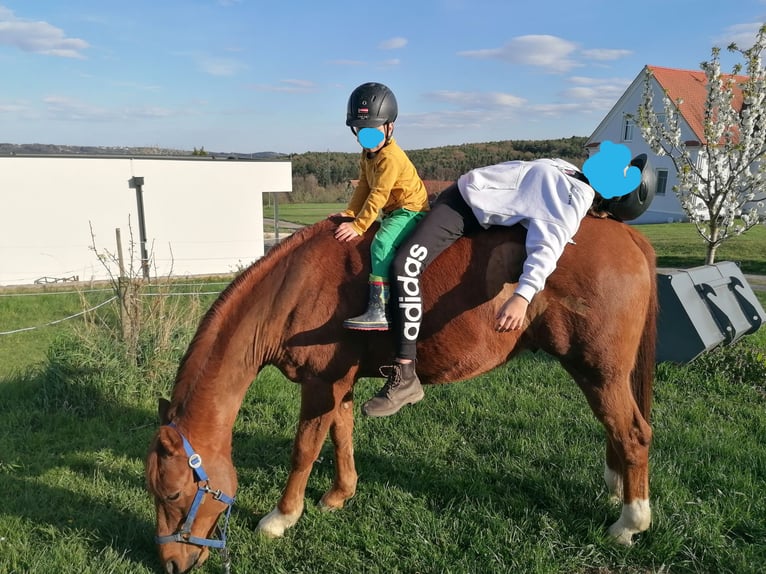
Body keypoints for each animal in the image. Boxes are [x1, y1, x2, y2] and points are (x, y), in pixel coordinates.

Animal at [145, 215, 657, 573]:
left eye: (173, 494)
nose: (170, 564)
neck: (293, 288)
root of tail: (629, 236)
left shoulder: (320, 385)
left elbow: (304, 449)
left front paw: (281, 517)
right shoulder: (340, 385)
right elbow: (341, 436)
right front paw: (340, 495)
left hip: (598, 372)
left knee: (633, 434)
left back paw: (630, 523)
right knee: (618, 433)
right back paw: (616, 489)